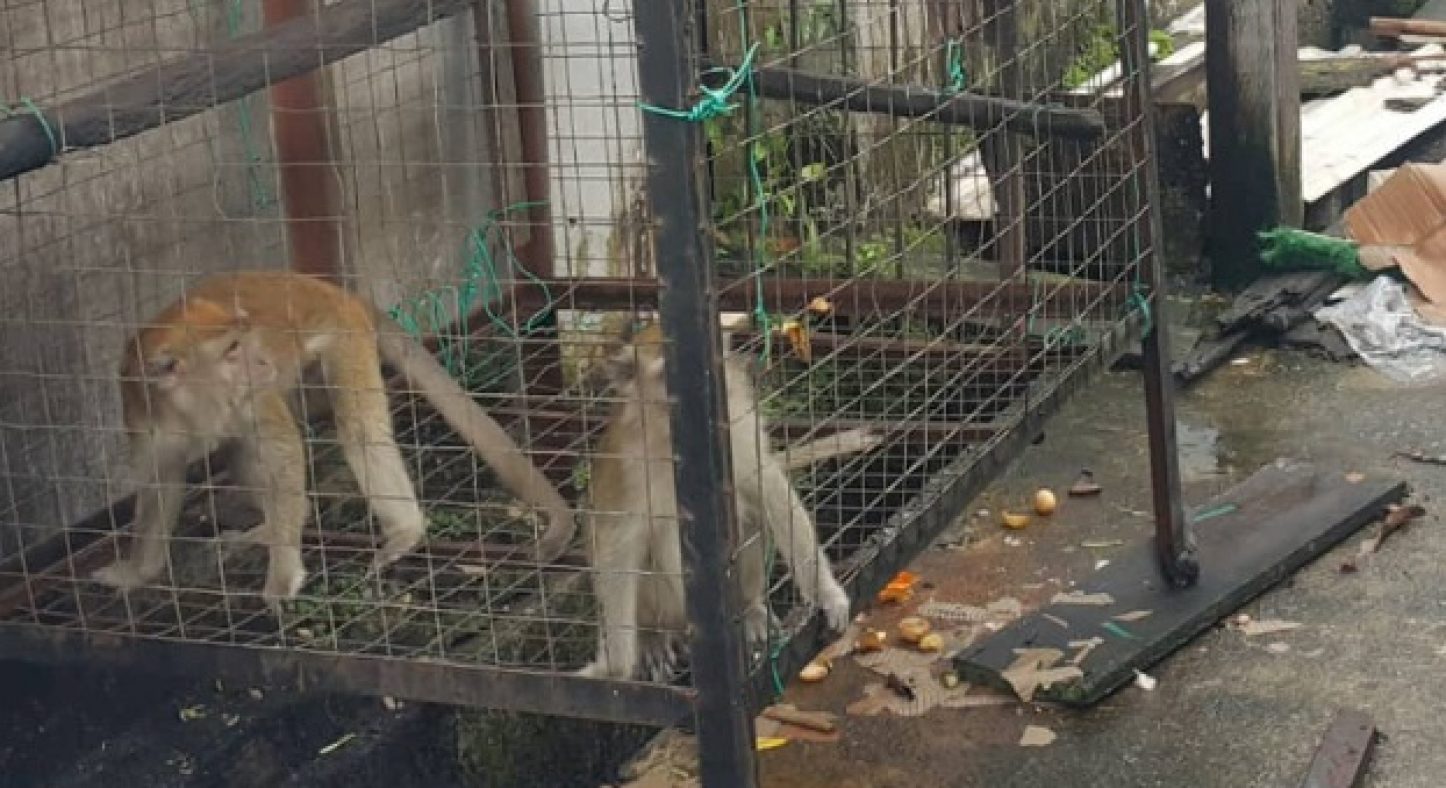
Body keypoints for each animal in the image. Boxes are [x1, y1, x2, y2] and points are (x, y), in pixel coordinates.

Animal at [91, 270, 576, 606]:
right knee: (241, 453)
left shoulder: (252, 398)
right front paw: (137, 572)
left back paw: (405, 532)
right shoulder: (144, 416)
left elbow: (285, 452)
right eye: (231, 350)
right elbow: (161, 482)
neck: (191, 409)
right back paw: (273, 527)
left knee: (358, 428)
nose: (262, 363)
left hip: (343, 336)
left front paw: (283, 577)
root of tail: (329, 288)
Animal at [577, 322, 851, 681]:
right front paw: (616, 667)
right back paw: (652, 635)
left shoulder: (737, 429)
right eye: (667, 376)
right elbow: (616, 543)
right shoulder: (631, 465)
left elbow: (772, 493)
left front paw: (827, 593)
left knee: (746, 514)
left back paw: (748, 610)